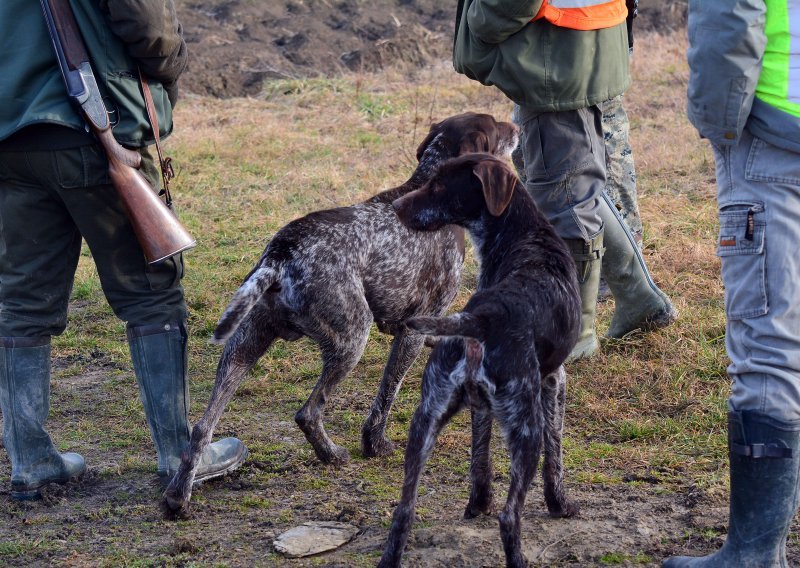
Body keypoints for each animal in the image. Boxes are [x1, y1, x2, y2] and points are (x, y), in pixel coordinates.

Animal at [162, 113, 520, 516]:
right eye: (495, 127)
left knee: (201, 429)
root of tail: (282, 256)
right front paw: (375, 446)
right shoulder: (411, 330)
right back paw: (332, 455)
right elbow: (387, 395)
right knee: (308, 412)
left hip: (244, 344)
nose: (516, 128)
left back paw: (179, 496)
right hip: (352, 338)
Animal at [382, 153, 580, 568]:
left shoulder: (480, 407)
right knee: (510, 517)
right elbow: (555, 456)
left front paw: (477, 505)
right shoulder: (555, 380)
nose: (396, 206)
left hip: (425, 421)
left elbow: (480, 458)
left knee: (403, 510)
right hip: (526, 429)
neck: (525, 235)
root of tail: (481, 317)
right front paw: (560, 504)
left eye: (440, 184)